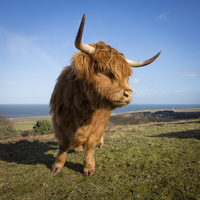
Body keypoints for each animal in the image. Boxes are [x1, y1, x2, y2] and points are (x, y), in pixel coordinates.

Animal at [50, 14, 161, 177]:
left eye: (127, 75)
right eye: (104, 70)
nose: (128, 94)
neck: (82, 106)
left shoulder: (98, 121)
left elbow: (90, 143)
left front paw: (89, 167)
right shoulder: (60, 119)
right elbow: (63, 145)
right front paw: (57, 165)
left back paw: (99, 144)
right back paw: (77, 148)